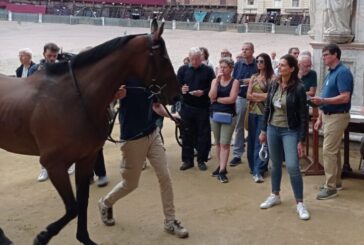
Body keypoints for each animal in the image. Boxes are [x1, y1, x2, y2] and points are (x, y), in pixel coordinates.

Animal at [0, 19, 178, 245]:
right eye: (163, 57)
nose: (177, 94)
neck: (74, 98)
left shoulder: (86, 159)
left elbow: (82, 203)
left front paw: (84, 237)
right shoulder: (54, 164)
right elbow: (72, 208)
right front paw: (42, 236)